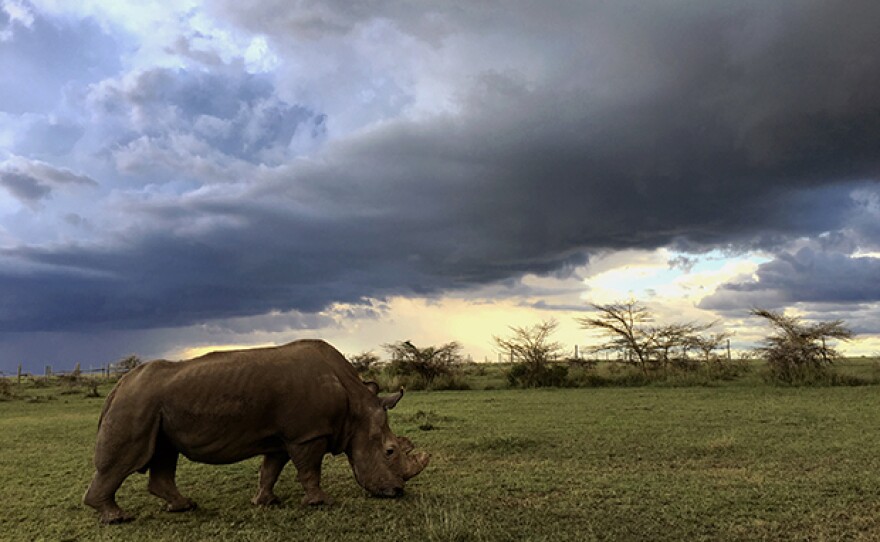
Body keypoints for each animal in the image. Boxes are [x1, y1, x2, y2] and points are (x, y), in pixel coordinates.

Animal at [83, 339, 430, 524]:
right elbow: (310, 470)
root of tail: (118, 385)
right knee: (127, 459)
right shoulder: (308, 434)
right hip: (136, 403)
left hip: (153, 407)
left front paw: (265, 502)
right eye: (390, 451)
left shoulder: (283, 438)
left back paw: (184, 506)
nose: (397, 492)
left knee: (165, 453)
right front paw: (321, 502)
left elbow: (271, 469)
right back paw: (117, 519)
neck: (356, 408)